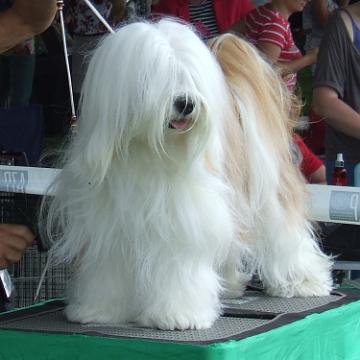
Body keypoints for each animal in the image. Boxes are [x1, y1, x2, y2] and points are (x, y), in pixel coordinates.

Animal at [43, 19, 334, 330]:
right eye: (156, 77)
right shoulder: (108, 226)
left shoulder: (182, 220)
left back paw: (304, 282)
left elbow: (177, 267)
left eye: (188, 76)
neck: (146, 152)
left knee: (286, 234)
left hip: (267, 193)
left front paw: (178, 315)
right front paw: (100, 310)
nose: (186, 103)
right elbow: (108, 269)